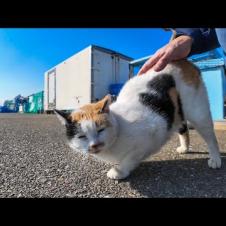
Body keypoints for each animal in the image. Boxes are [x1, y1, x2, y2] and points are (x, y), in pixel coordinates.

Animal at [54, 59, 221, 180]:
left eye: (100, 129)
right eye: (81, 136)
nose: (95, 145)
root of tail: (180, 60)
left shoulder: (151, 135)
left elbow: (130, 159)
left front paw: (118, 171)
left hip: (197, 111)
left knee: (210, 136)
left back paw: (215, 159)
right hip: (177, 112)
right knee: (183, 128)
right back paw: (184, 148)